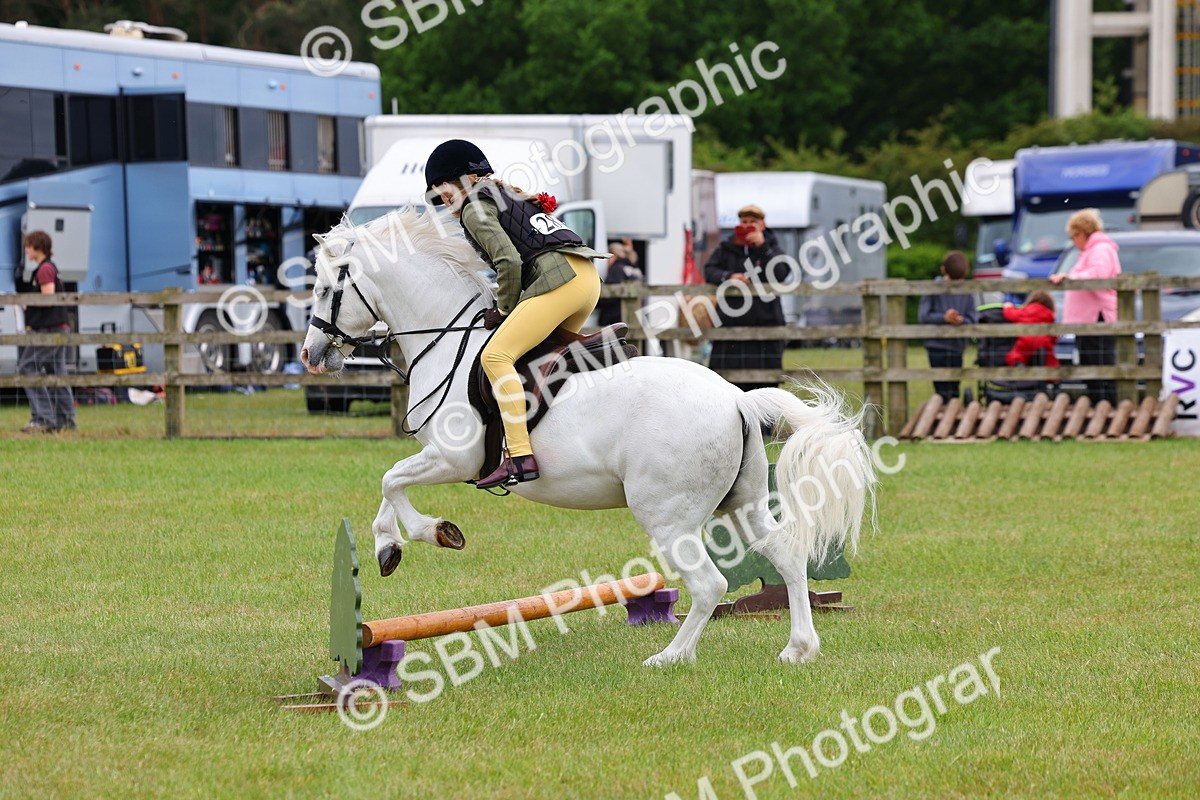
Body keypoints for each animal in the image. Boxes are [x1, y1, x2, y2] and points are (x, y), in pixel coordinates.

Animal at [299, 207, 876, 667]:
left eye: (326, 289)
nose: (311, 354)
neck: (445, 342)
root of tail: (735, 397)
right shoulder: (440, 458)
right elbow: (391, 483)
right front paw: (408, 541)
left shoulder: (451, 457)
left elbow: (390, 481)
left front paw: (417, 537)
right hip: (743, 503)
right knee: (785, 555)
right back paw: (798, 648)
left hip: (667, 514)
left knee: (710, 584)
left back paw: (670, 657)